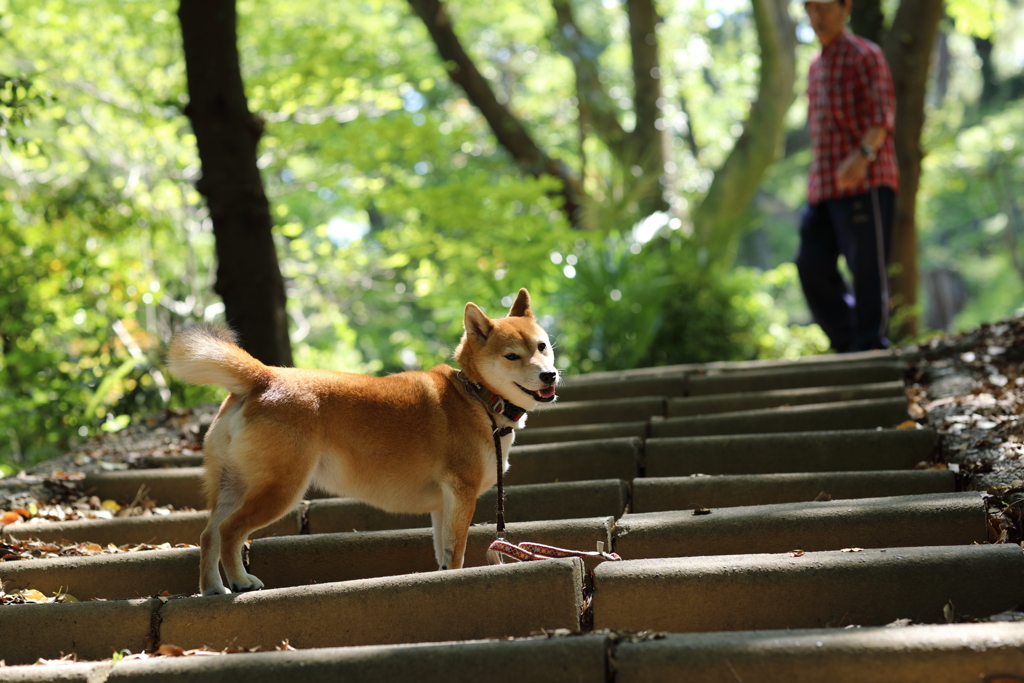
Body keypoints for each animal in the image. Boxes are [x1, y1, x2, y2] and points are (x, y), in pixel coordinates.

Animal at [165, 286, 561, 593]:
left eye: (542, 346)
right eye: (512, 356)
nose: (550, 375)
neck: (477, 397)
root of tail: (265, 377)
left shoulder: (443, 504)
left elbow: (444, 553)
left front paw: (444, 576)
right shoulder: (460, 492)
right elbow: (457, 550)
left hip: (233, 484)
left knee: (208, 535)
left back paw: (212, 588)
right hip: (281, 490)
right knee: (230, 531)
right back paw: (240, 582)